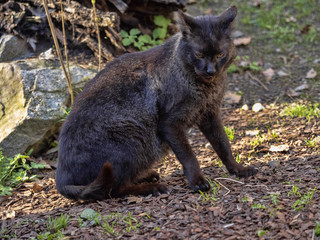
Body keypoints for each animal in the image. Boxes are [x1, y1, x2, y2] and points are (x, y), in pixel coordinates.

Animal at [55, 5, 258, 201]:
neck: (206, 87)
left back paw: (148, 176)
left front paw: (238, 169)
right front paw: (197, 182)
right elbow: (189, 155)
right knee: (111, 190)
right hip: (133, 137)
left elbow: (223, 145)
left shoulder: (210, 114)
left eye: (220, 54)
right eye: (199, 55)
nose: (210, 70)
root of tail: (60, 179)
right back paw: (153, 188)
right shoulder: (170, 124)